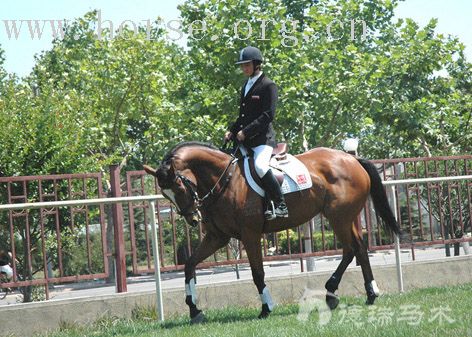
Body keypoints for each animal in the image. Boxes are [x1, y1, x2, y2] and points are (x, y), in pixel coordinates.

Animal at [143, 140, 398, 322]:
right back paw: (366, 293)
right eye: (165, 194)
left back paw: (336, 292)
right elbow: (189, 265)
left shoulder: (250, 235)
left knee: (351, 249)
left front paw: (266, 308)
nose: (192, 219)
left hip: (339, 217)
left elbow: (257, 273)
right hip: (347, 217)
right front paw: (194, 310)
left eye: (178, 186)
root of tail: (350, 158)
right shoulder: (218, 237)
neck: (225, 180)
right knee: (358, 249)